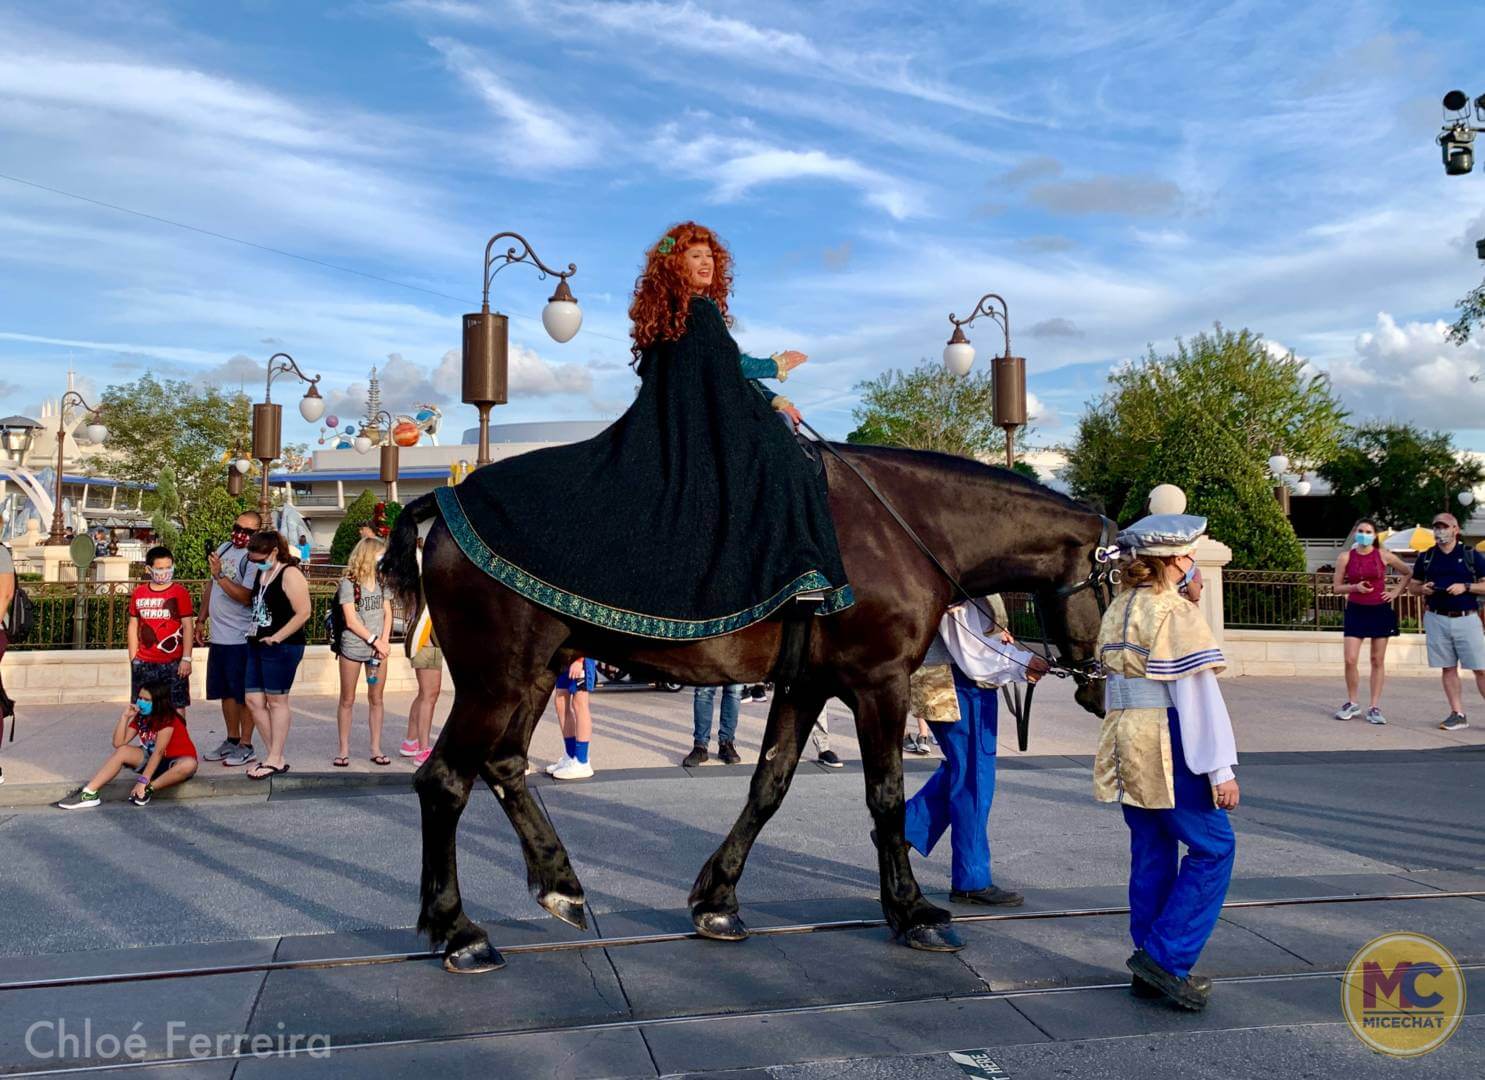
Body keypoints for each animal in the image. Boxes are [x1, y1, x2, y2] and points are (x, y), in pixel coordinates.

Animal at [377, 442, 1110, 974]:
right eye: (1123, 580)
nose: (1104, 689)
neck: (902, 527)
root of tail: (446, 501)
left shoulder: (804, 686)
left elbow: (769, 785)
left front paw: (717, 899)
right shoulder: (878, 683)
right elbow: (885, 796)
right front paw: (911, 911)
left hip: (536, 673)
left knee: (502, 764)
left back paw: (558, 882)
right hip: (494, 680)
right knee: (444, 780)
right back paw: (458, 929)